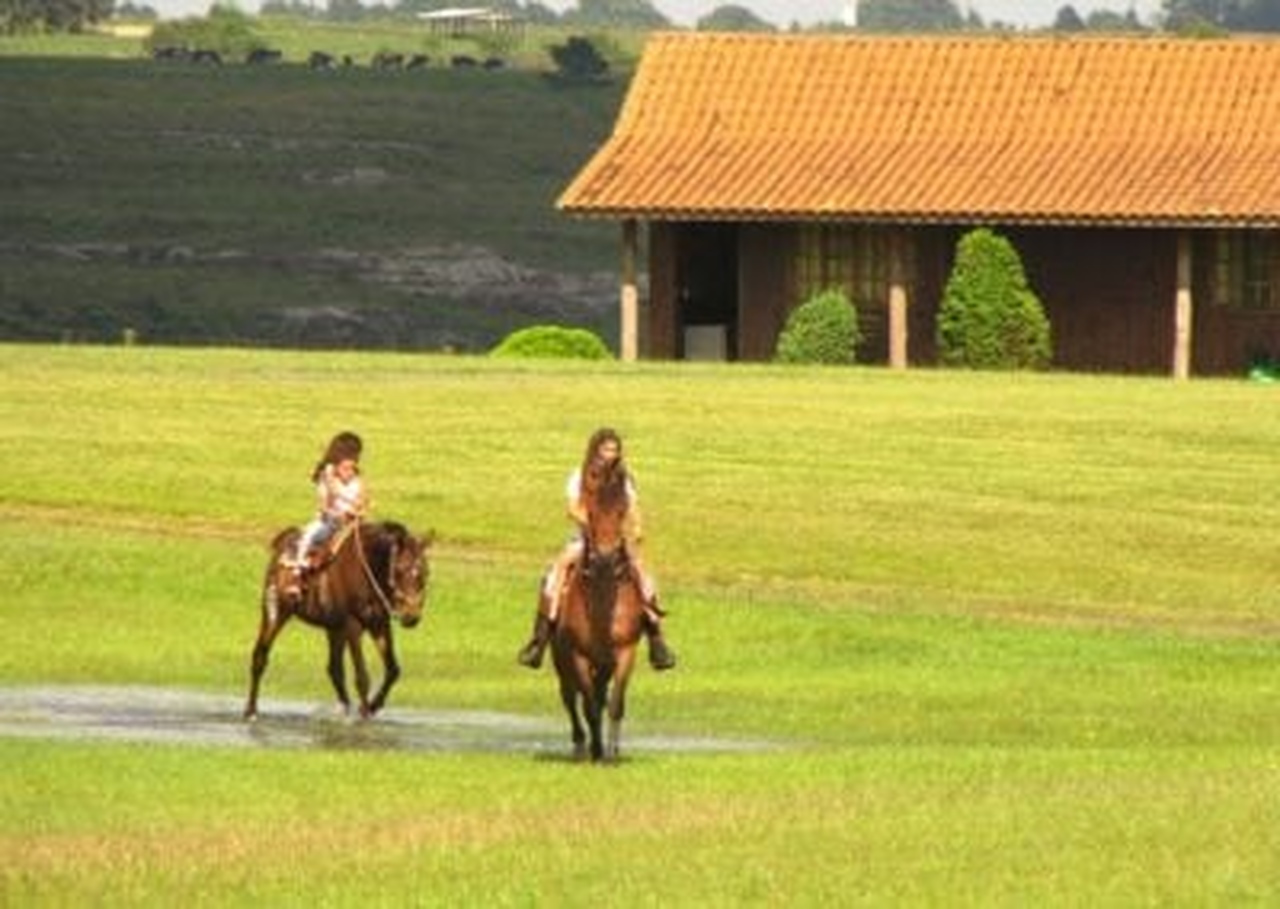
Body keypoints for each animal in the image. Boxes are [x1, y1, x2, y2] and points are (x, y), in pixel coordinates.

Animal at [241, 522, 432, 722]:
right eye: (400, 570)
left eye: (425, 573)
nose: (411, 616)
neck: (366, 570)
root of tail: (282, 543)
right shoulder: (353, 626)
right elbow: (362, 677)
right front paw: (364, 713)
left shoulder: (379, 624)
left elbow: (393, 670)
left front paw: (373, 706)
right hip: (276, 614)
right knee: (260, 657)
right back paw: (251, 711)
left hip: (334, 629)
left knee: (334, 668)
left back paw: (345, 708)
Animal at [552, 455, 650, 763]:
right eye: (592, 512)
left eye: (621, 512)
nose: (606, 557)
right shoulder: (578, 656)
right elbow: (589, 707)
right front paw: (595, 751)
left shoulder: (625, 653)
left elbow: (615, 703)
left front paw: (611, 752)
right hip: (562, 660)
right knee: (570, 698)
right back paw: (580, 746)